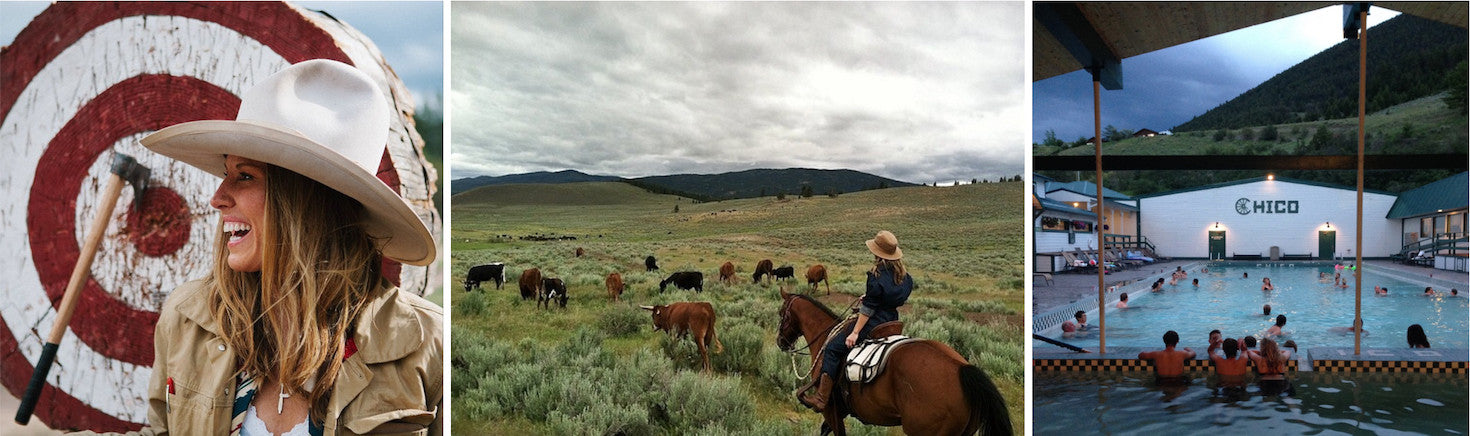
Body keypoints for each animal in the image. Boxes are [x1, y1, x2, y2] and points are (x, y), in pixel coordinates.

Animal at [782, 289, 1011, 434]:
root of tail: (962, 369)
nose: (780, 342)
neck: (825, 336)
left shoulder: (830, 409)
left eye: (780, 313)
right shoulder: (840, 411)